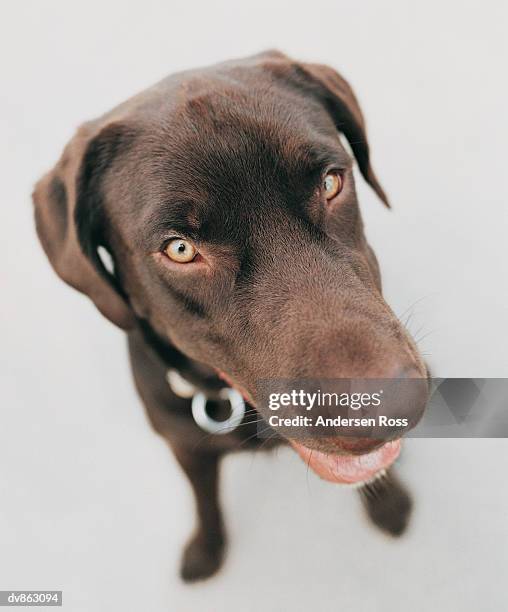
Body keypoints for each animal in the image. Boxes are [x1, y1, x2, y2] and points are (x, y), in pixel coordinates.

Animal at [32, 50, 428, 580]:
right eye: (180, 249)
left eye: (331, 183)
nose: (390, 405)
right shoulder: (183, 441)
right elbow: (204, 500)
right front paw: (205, 550)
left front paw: (389, 506)